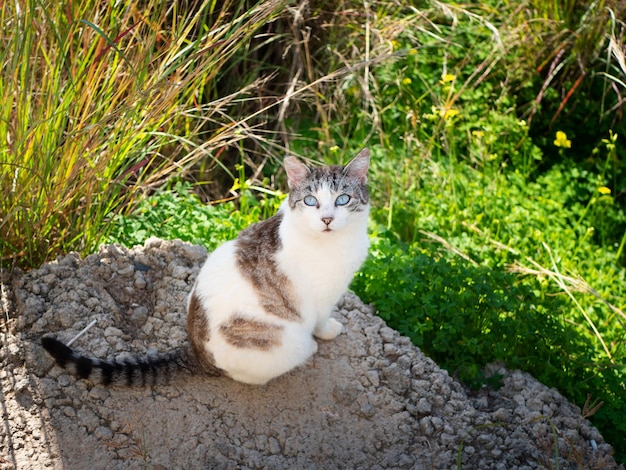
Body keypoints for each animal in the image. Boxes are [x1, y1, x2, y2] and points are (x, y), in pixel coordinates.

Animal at [42, 150, 370, 386]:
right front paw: (328, 332)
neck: (336, 242)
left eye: (343, 199)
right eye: (311, 201)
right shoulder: (321, 299)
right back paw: (307, 350)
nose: (327, 219)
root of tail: (196, 353)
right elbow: (321, 321)